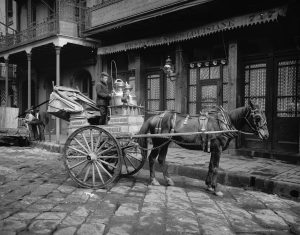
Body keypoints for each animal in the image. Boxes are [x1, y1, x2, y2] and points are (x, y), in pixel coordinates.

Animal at [138, 100, 270, 196]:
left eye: (265, 115)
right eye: (257, 117)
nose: (266, 135)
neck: (224, 123)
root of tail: (154, 117)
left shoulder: (214, 149)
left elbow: (211, 166)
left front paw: (208, 185)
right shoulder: (218, 149)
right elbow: (216, 168)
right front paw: (216, 189)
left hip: (166, 142)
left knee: (161, 159)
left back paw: (169, 180)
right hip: (158, 142)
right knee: (152, 158)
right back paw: (153, 180)